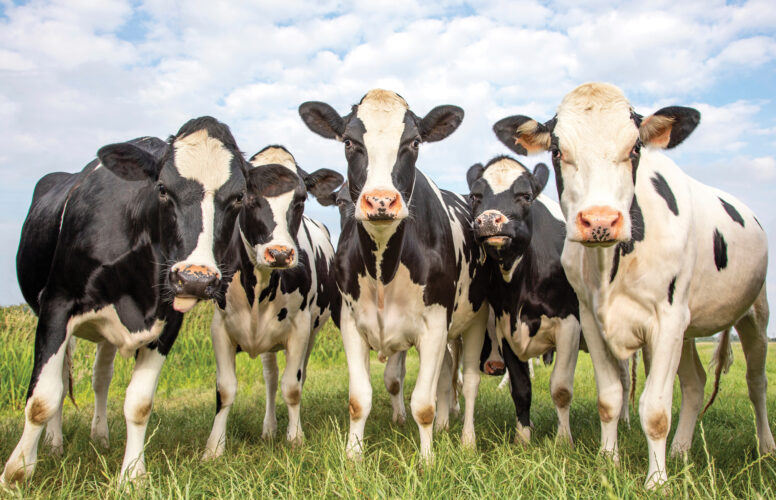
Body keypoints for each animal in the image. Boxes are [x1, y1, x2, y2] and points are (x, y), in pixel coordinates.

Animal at [2, 117, 248, 485]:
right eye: (162, 188)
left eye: (238, 197)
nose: (196, 278)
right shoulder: (56, 305)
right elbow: (42, 397)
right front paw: (17, 471)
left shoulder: (167, 321)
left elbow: (139, 403)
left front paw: (132, 474)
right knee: (62, 378)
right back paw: (55, 444)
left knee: (100, 378)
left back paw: (100, 436)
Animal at [201, 145, 343, 458]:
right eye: (245, 197)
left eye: (301, 199)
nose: (279, 254)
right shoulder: (220, 327)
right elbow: (225, 389)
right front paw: (214, 447)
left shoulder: (300, 327)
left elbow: (292, 386)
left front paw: (296, 438)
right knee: (270, 378)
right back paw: (268, 428)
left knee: (292, 376)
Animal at [299, 89, 489, 459]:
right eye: (349, 141)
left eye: (413, 142)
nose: (381, 201)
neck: (383, 269)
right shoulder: (350, 323)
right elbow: (360, 399)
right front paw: (353, 456)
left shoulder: (435, 325)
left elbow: (424, 404)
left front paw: (427, 461)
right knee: (447, 374)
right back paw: (445, 425)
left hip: (476, 317)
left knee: (470, 381)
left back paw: (467, 439)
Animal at [493, 82, 774, 488]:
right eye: (558, 151)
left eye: (635, 148)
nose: (599, 220)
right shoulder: (591, 319)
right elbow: (609, 397)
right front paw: (607, 460)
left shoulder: (667, 319)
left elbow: (655, 410)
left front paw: (657, 481)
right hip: (689, 329)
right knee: (695, 384)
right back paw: (681, 449)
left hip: (754, 315)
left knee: (756, 382)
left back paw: (765, 447)